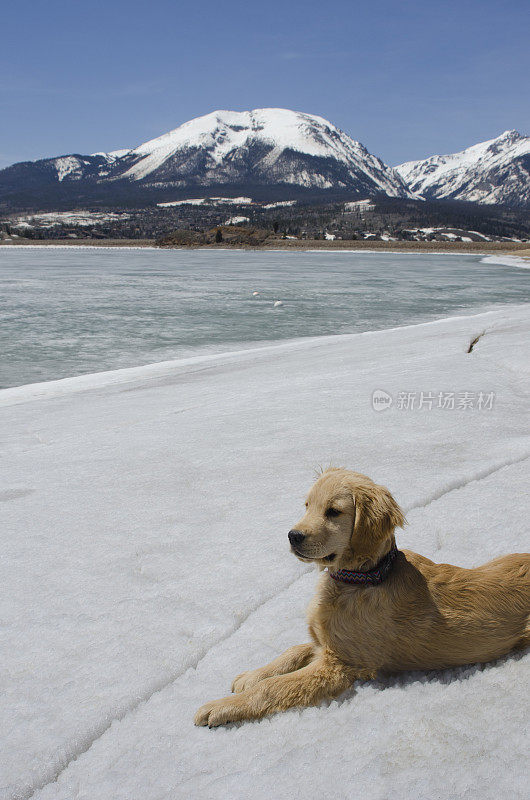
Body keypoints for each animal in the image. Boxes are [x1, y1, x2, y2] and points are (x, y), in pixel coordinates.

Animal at [195, 466, 528, 728]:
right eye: (307, 505)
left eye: (333, 511)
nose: (293, 536)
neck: (363, 580)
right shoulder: (328, 642)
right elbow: (292, 651)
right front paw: (253, 675)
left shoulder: (340, 663)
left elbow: (275, 687)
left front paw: (221, 707)